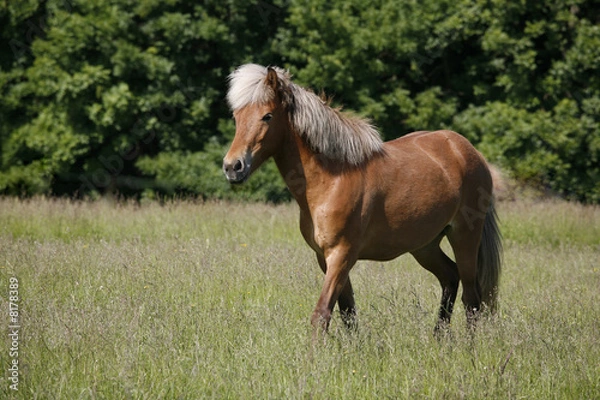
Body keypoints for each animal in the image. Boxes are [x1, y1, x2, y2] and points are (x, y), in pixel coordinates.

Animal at [223, 63, 500, 338]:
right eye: (236, 117)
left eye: (267, 116)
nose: (232, 167)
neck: (332, 179)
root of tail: (466, 150)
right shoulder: (325, 258)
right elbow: (348, 313)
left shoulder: (341, 255)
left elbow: (321, 314)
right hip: (425, 245)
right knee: (450, 278)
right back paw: (438, 339)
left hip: (464, 237)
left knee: (471, 299)